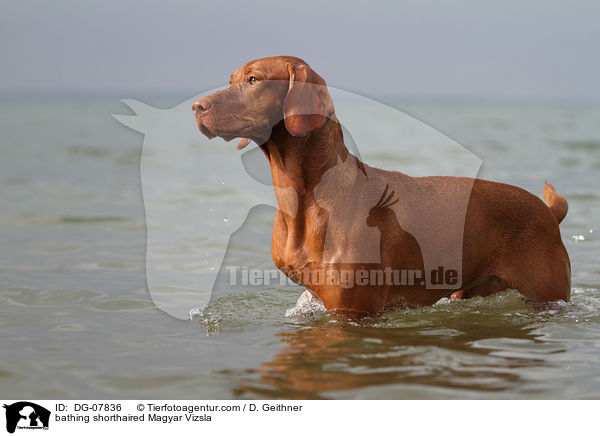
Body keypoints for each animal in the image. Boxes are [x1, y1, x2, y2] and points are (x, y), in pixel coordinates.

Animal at [193, 55, 572, 314]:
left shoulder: (356, 309)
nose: (197, 106)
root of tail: (548, 212)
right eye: (231, 79)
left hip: (548, 294)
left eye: (253, 79)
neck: (307, 197)